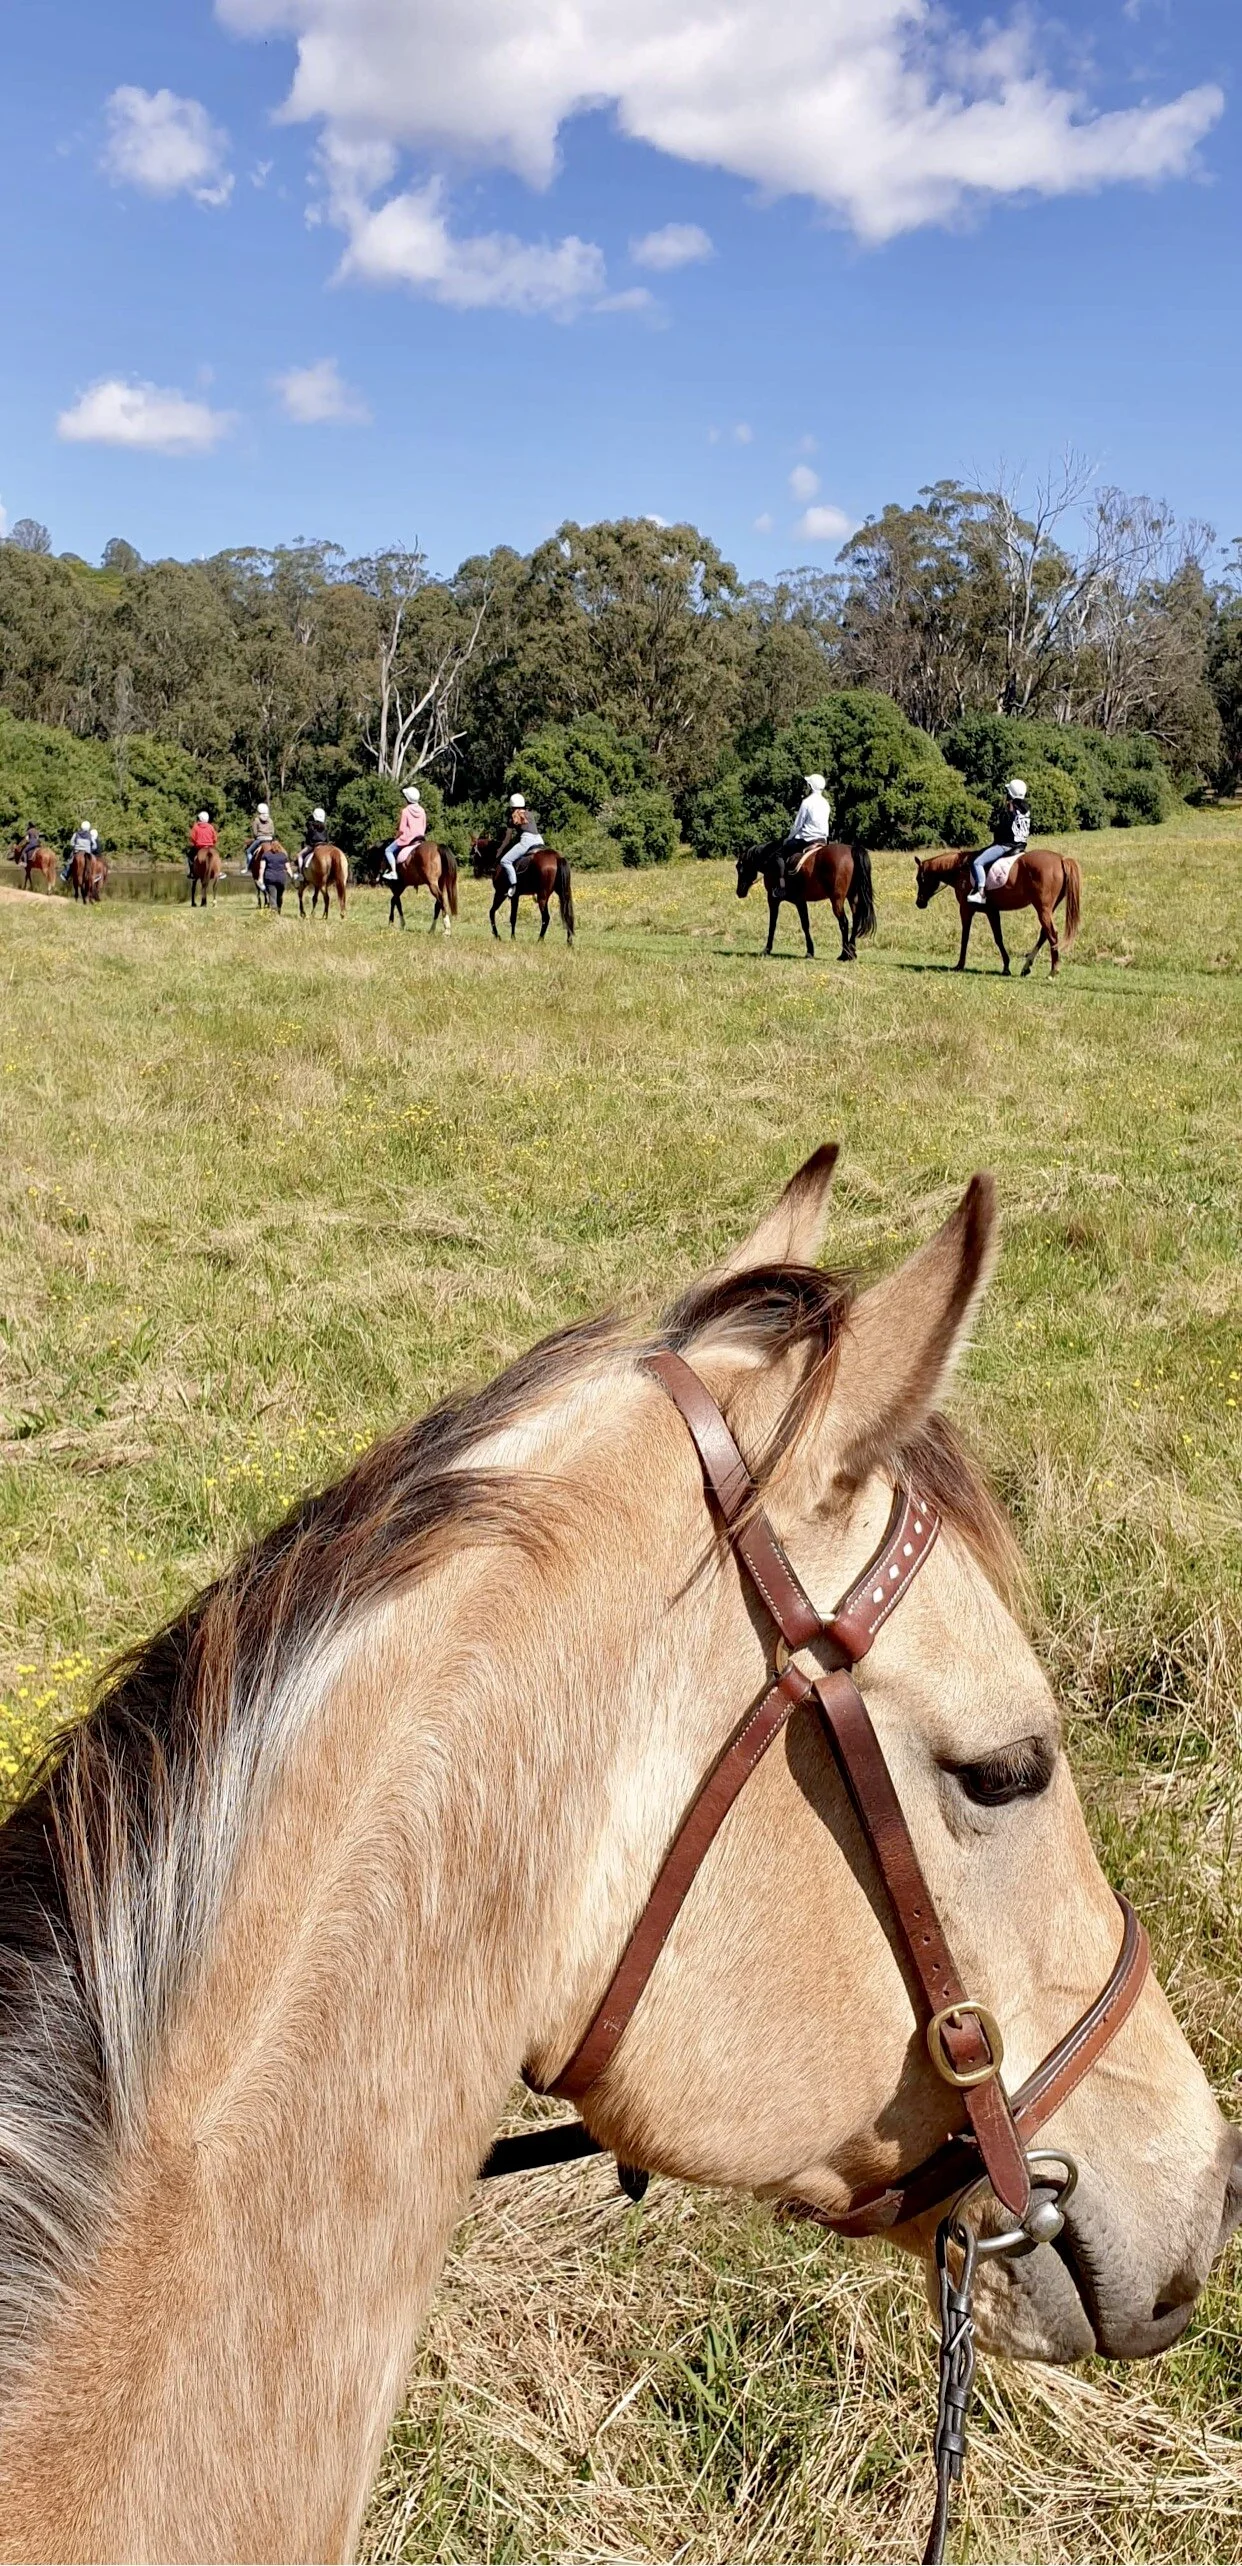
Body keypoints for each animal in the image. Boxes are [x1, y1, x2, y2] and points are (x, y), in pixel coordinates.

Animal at [736, 838, 877, 962]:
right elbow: (805, 924)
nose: (739, 892)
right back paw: (852, 952)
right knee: (856, 920)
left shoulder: (773, 899)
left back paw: (844, 954)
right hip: (853, 897)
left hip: (837, 900)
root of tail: (851, 849)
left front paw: (767, 949)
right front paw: (810, 951)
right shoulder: (800, 901)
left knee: (844, 923)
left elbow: (773, 924)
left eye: (739, 867)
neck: (769, 860)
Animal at [915, 846, 1082, 977]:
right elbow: (998, 938)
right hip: (1047, 909)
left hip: (1043, 908)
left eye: (919, 879)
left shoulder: (966, 909)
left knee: (1052, 935)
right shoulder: (992, 911)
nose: (919, 903)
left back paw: (1053, 971)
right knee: (1044, 934)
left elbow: (965, 937)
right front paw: (1006, 967)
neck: (959, 869)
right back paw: (1026, 967)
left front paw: (959, 965)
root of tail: (1061, 859)